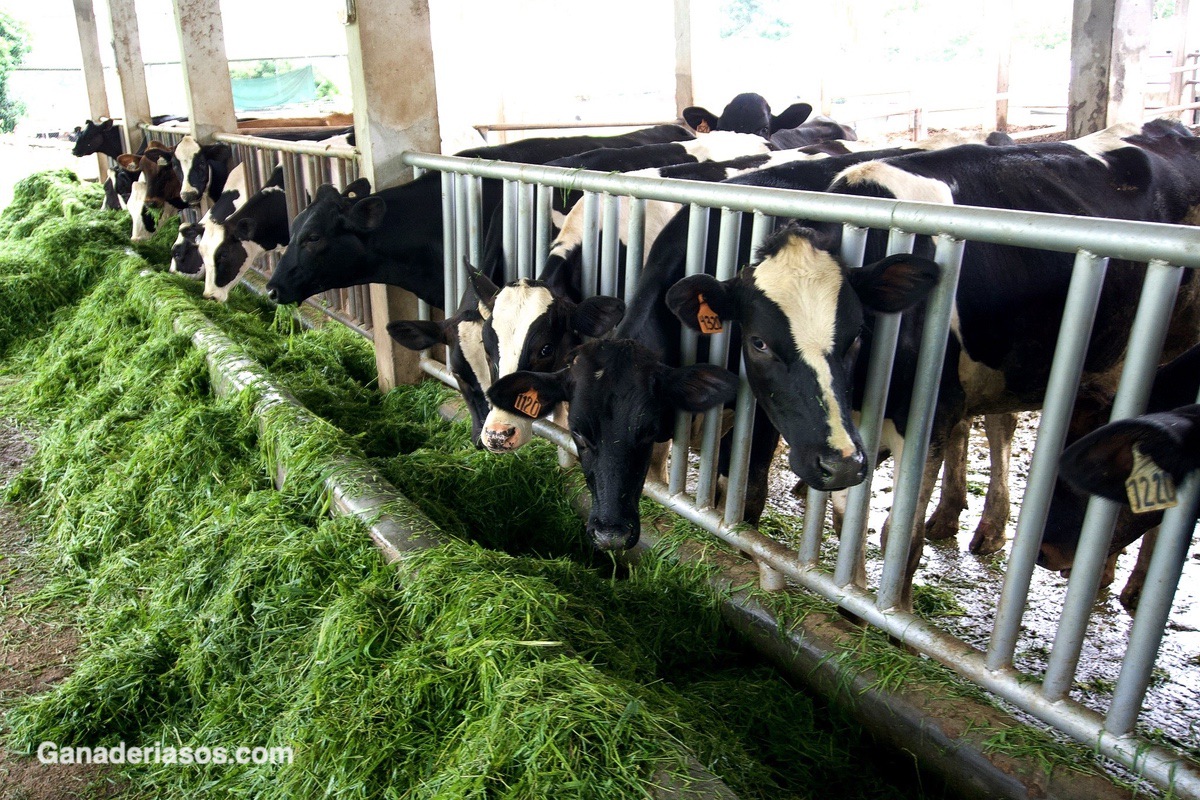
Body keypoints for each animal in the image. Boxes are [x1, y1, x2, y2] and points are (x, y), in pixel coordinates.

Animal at [667, 117, 1200, 606]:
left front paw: (889, 619)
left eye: (858, 334)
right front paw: (853, 599)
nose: (836, 462)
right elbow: (848, 519)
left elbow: (900, 538)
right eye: (757, 342)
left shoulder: (929, 416)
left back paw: (1125, 580)